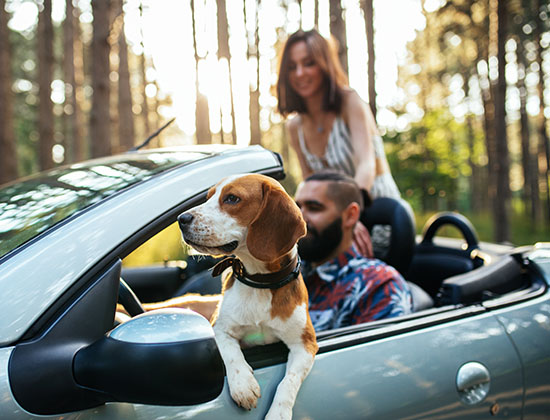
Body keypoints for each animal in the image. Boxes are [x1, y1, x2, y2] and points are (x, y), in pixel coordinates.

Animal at [179, 173, 320, 420]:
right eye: (208, 197)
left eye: (232, 198)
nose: (181, 218)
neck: (261, 282)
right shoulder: (219, 328)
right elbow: (232, 354)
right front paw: (243, 385)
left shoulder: (305, 344)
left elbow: (288, 381)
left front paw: (278, 413)